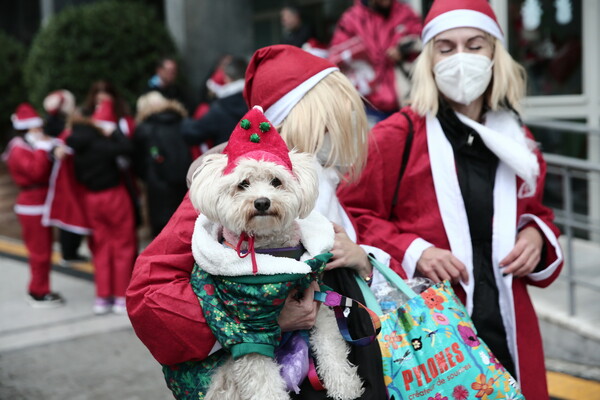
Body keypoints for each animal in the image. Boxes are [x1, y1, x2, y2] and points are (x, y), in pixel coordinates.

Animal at [190, 141, 364, 400]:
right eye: (243, 184)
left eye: (276, 181)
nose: (262, 202)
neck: (274, 251)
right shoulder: (248, 330)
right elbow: (262, 379)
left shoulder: (318, 302)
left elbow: (330, 346)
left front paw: (344, 385)